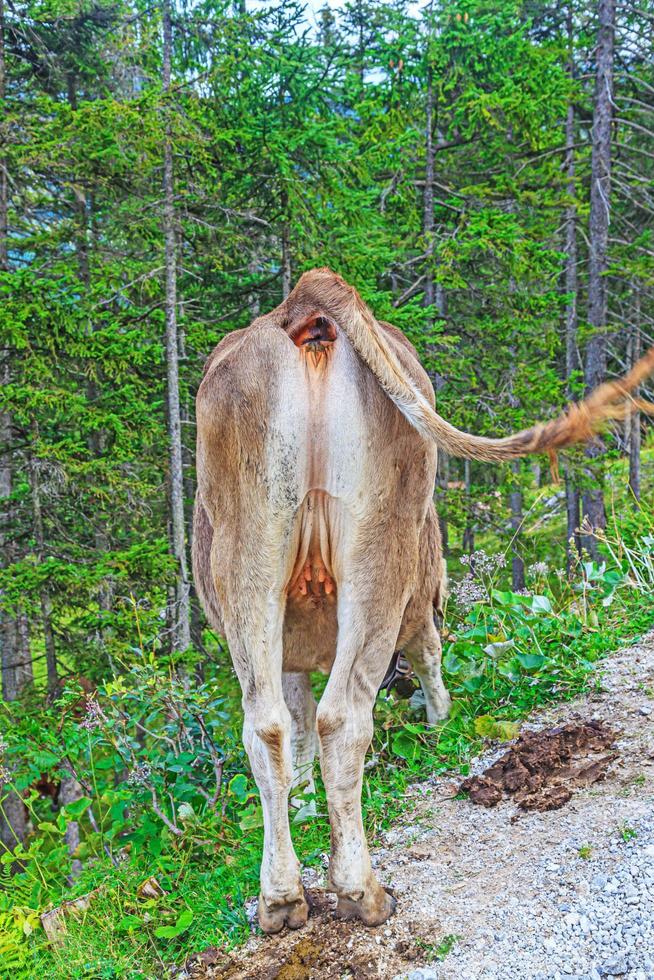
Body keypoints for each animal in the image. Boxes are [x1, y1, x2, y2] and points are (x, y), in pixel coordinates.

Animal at [195, 266, 654, 936]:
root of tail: (305, 300)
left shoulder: (289, 652)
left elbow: (297, 726)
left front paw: (305, 804)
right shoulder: (421, 596)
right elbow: (429, 653)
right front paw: (443, 719)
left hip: (246, 553)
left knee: (268, 726)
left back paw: (280, 900)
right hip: (381, 545)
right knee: (345, 716)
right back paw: (361, 892)